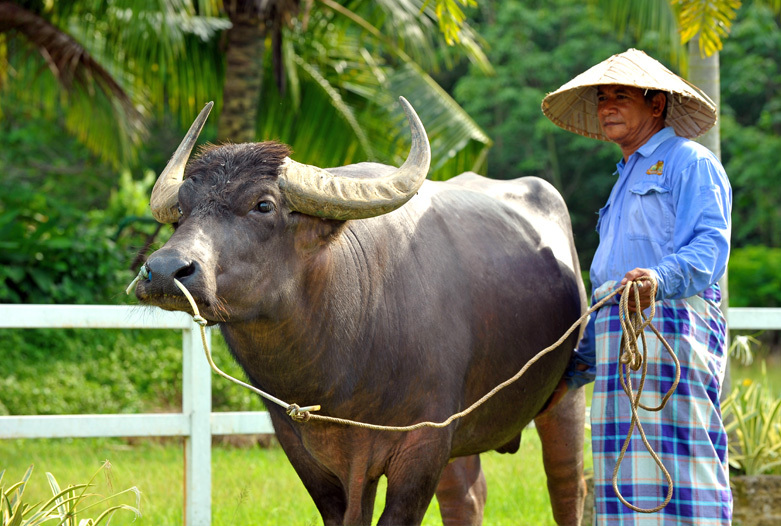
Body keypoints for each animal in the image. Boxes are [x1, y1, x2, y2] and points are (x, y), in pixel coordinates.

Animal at [136, 100, 584, 526]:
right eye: (182, 210)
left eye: (263, 205)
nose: (164, 270)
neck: (343, 375)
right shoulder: (305, 449)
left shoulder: (424, 442)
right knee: (467, 499)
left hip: (567, 392)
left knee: (566, 485)